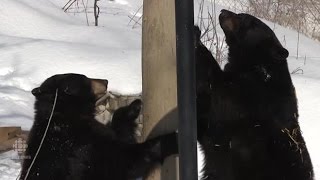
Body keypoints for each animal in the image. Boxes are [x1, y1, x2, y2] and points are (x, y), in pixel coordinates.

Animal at [19, 73, 178, 180]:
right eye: (85, 77)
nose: (105, 81)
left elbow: (119, 134)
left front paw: (134, 106)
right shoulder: (83, 146)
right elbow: (124, 161)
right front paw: (171, 139)